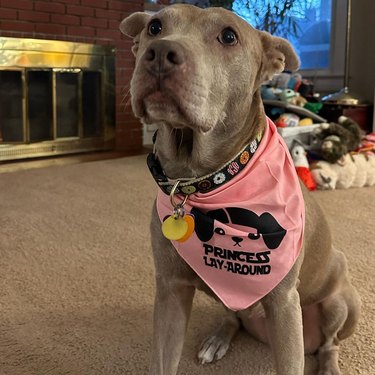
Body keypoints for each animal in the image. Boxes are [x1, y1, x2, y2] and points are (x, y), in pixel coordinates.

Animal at [120, 4, 362, 374]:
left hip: (342, 302)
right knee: (234, 316)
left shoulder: (283, 304)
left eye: (229, 36)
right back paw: (218, 339)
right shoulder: (170, 292)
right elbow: (163, 361)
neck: (199, 180)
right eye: (155, 27)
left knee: (329, 345)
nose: (159, 53)